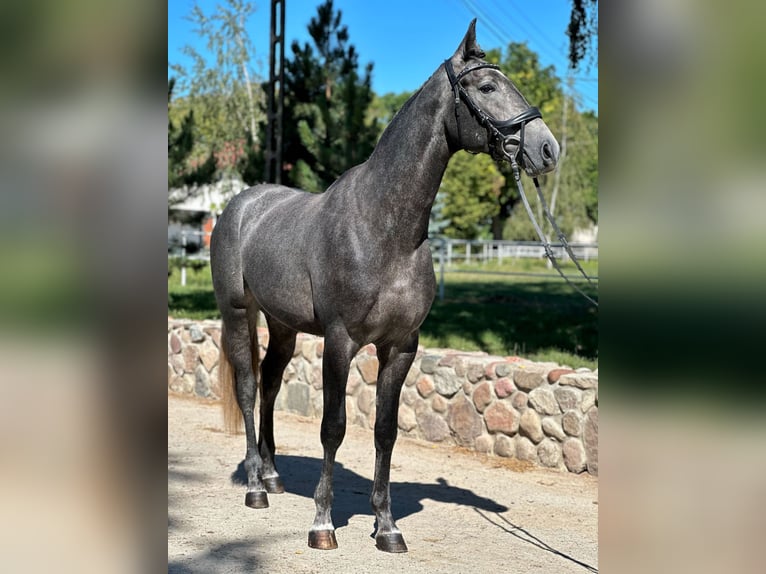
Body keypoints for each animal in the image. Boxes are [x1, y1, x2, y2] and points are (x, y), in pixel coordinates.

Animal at [213, 20, 560, 556]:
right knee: (249, 388)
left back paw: (271, 475)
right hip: (236, 314)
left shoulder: (400, 346)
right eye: (486, 87)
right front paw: (323, 524)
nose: (547, 148)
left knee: (270, 384)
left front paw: (387, 527)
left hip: (284, 325)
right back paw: (255, 487)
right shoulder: (340, 342)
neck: (384, 227)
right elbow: (333, 427)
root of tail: (242, 204)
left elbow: (385, 431)